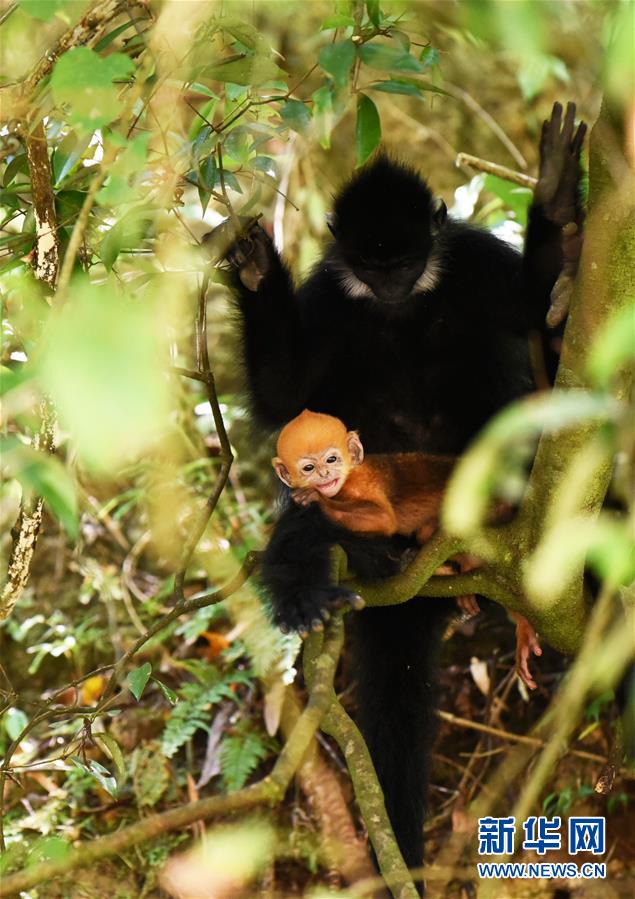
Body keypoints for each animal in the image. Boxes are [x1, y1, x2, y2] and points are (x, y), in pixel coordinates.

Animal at [274, 412, 540, 692]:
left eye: (331, 459)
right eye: (309, 468)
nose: (324, 474)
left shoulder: (361, 484)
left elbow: (383, 519)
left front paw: (318, 500)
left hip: (491, 509)